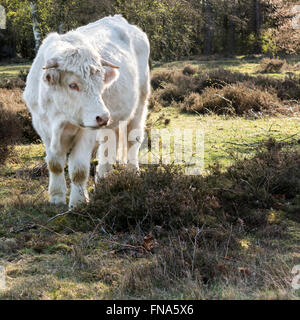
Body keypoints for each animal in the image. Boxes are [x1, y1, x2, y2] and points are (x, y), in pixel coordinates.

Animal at [22, 15, 150, 208]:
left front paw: (79, 202)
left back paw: (132, 172)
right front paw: (57, 197)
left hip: (140, 103)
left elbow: (79, 170)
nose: (103, 117)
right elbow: (54, 164)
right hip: (113, 119)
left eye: (100, 83)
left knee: (132, 139)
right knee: (109, 143)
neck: (60, 119)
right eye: (73, 85)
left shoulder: (87, 132)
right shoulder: (43, 128)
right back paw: (104, 177)